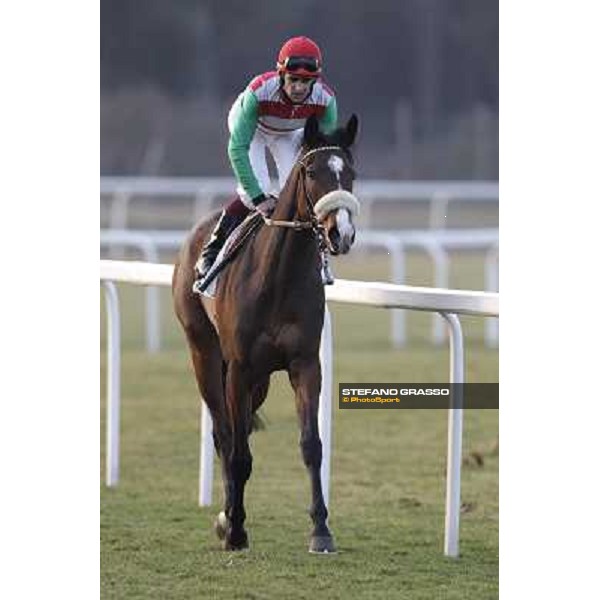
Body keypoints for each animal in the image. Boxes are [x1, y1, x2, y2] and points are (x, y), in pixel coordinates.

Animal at [173, 113, 360, 552]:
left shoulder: (304, 364)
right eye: (311, 172)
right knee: (224, 435)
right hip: (205, 355)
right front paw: (236, 529)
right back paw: (227, 517)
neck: (278, 277)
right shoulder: (238, 368)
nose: (340, 234)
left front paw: (321, 530)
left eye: (351, 173)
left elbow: (311, 445)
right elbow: (239, 452)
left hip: (258, 379)